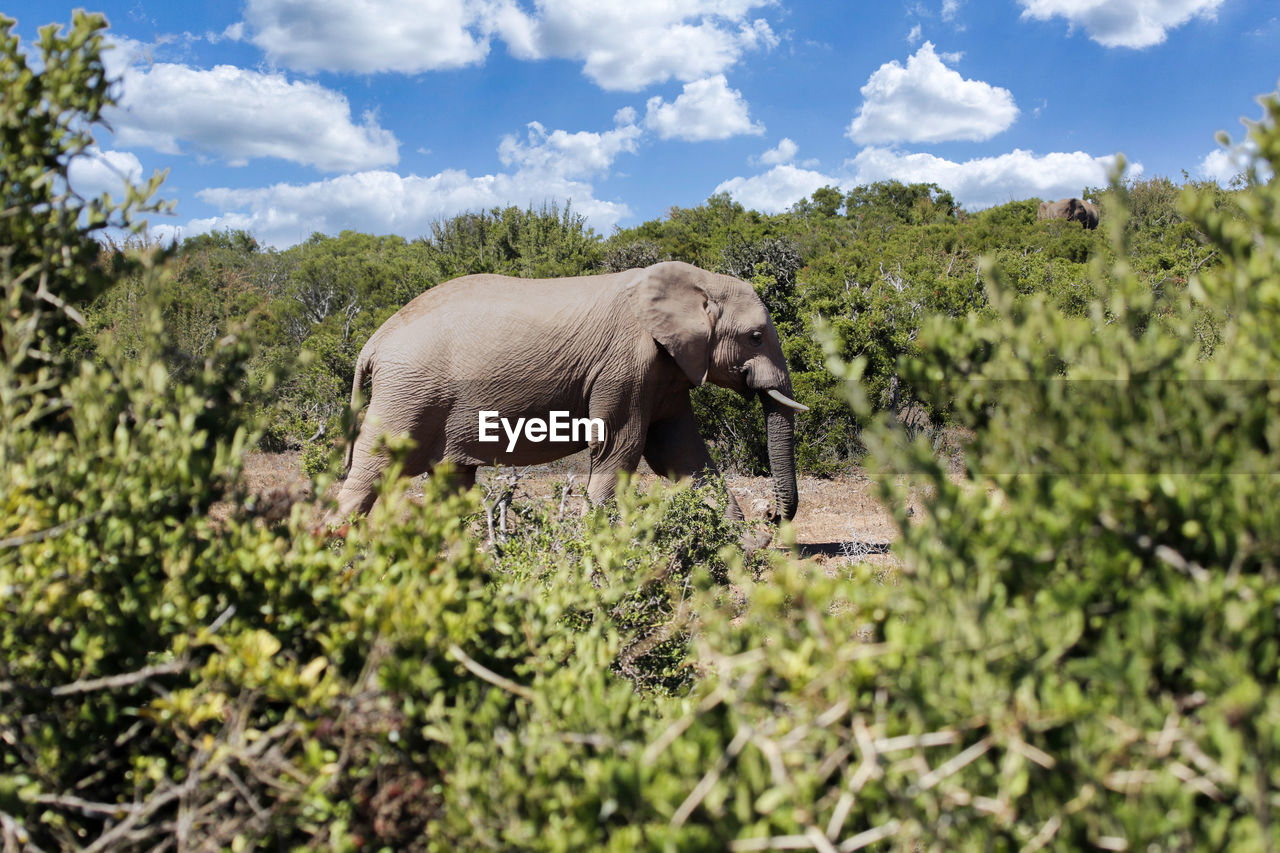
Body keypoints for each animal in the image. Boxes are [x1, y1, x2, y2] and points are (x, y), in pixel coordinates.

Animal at [335, 258, 803, 525]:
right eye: (756, 337)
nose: (770, 516)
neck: (698, 281)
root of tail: (372, 344)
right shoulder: (625, 364)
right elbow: (621, 449)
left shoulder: (666, 369)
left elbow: (681, 452)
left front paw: (742, 548)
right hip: (408, 393)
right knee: (371, 471)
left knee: (451, 479)